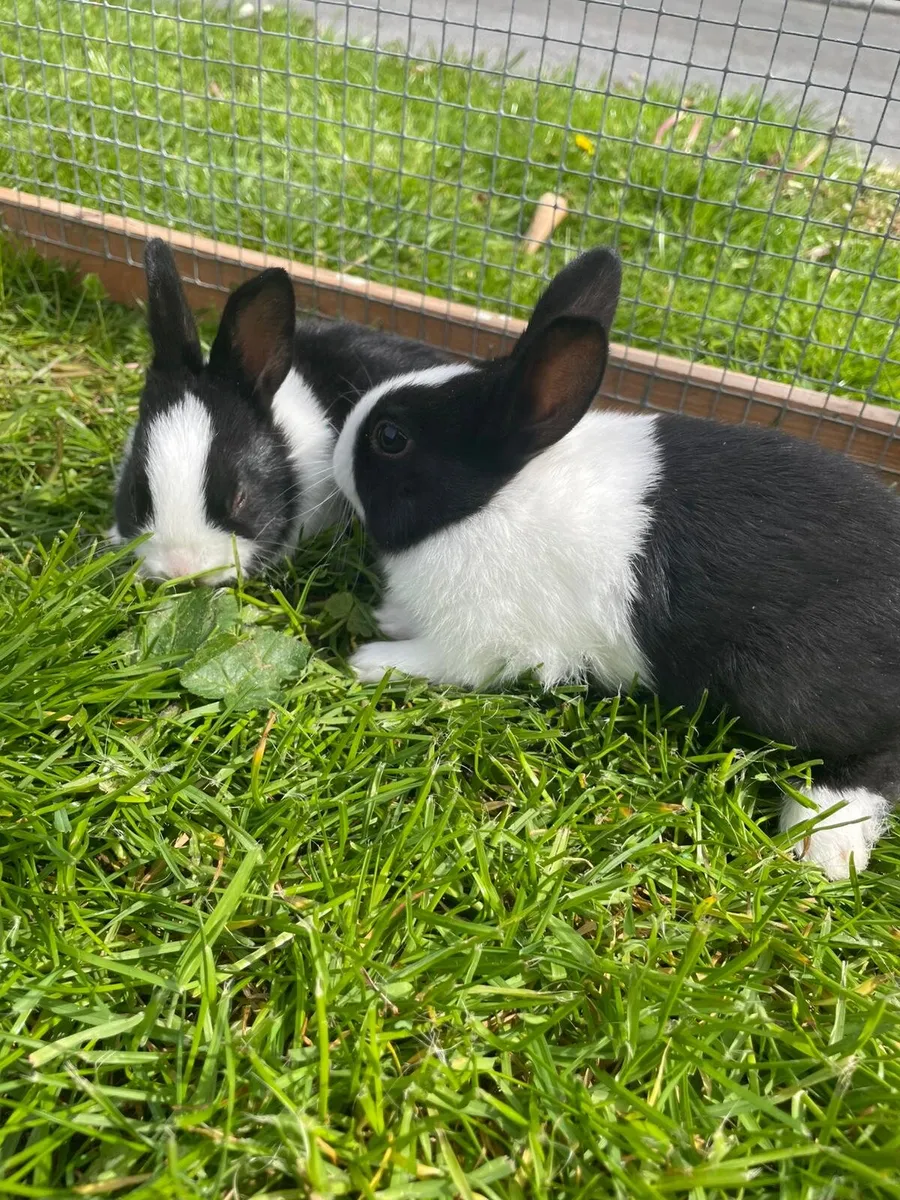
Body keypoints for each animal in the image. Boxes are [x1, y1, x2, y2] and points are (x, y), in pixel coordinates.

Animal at [332, 246, 900, 880]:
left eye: (391, 437)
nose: (334, 457)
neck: (495, 496)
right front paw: (389, 618)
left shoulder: (477, 641)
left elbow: (441, 663)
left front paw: (371, 662)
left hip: (783, 685)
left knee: (875, 752)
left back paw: (820, 843)